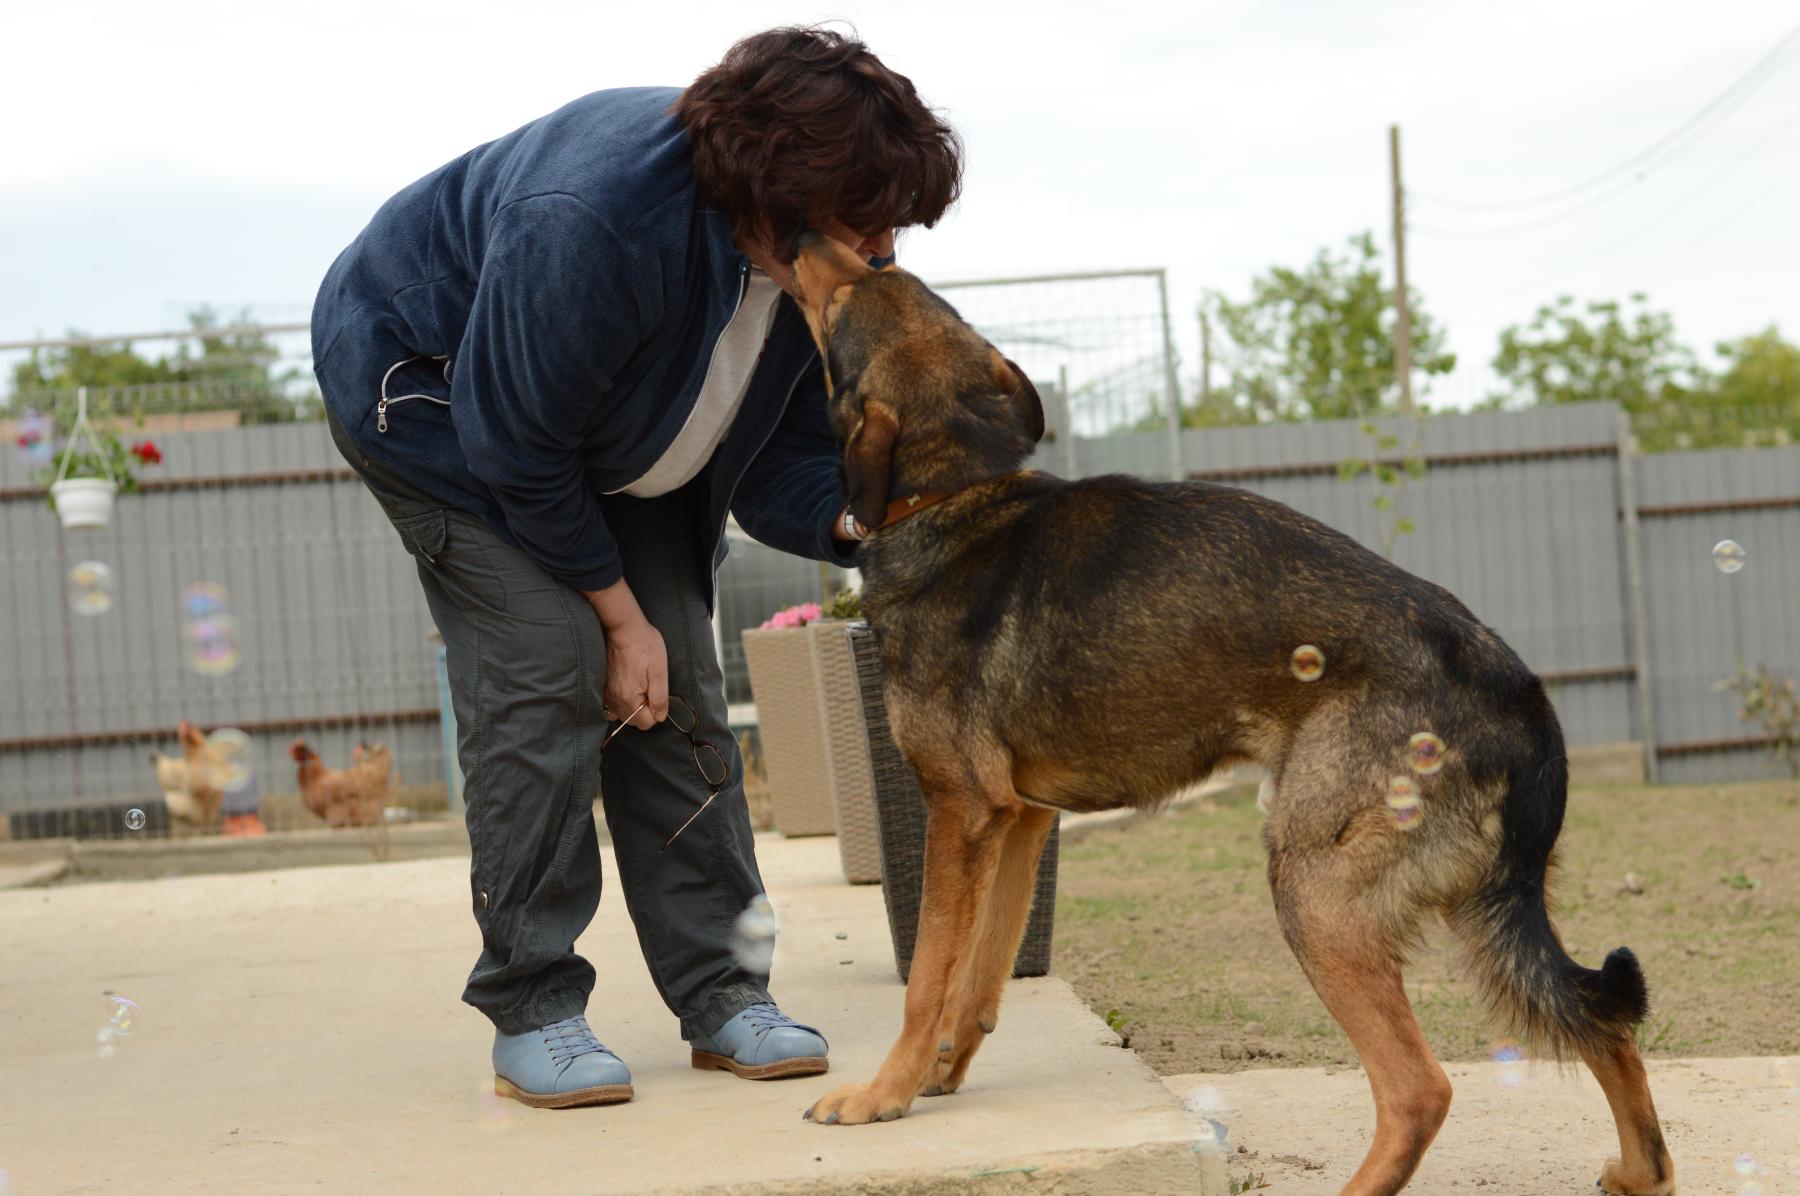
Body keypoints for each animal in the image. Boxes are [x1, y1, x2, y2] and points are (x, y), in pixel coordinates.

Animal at [786, 232, 1674, 1196]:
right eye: (885, 276)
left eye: (847, 298)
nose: (805, 241)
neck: (955, 495)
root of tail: (1517, 690)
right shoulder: (1018, 819)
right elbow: (979, 978)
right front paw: (941, 1072)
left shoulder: (960, 812)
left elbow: (927, 979)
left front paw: (885, 1094)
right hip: (1482, 911)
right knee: (1602, 1025)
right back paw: (1642, 1172)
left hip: (1314, 892)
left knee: (1420, 1089)